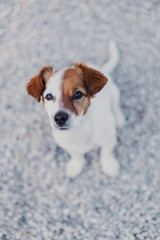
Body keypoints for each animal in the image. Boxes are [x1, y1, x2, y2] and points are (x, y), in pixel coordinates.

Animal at [26, 41, 125, 178]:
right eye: (48, 96)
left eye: (78, 94)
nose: (59, 118)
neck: (79, 129)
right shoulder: (66, 145)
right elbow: (77, 155)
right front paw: (76, 166)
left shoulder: (109, 138)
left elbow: (106, 153)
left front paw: (109, 165)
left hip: (114, 94)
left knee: (115, 106)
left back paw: (119, 118)